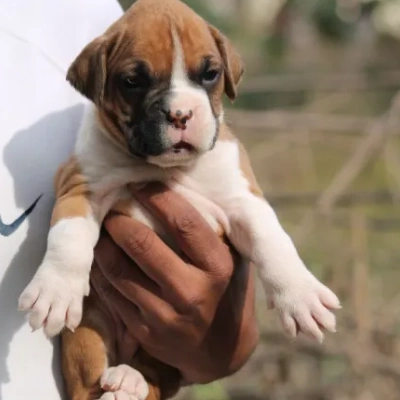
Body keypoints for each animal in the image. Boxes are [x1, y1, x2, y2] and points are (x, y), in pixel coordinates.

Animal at [18, 0, 340, 400]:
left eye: (210, 74)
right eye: (132, 81)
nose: (181, 114)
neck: (163, 168)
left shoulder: (243, 199)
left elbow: (273, 241)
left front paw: (302, 296)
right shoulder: (80, 187)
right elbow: (69, 237)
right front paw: (56, 290)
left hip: (169, 346)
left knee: (156, 369)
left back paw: (130, 380)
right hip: (87, 337)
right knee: (90, 379)